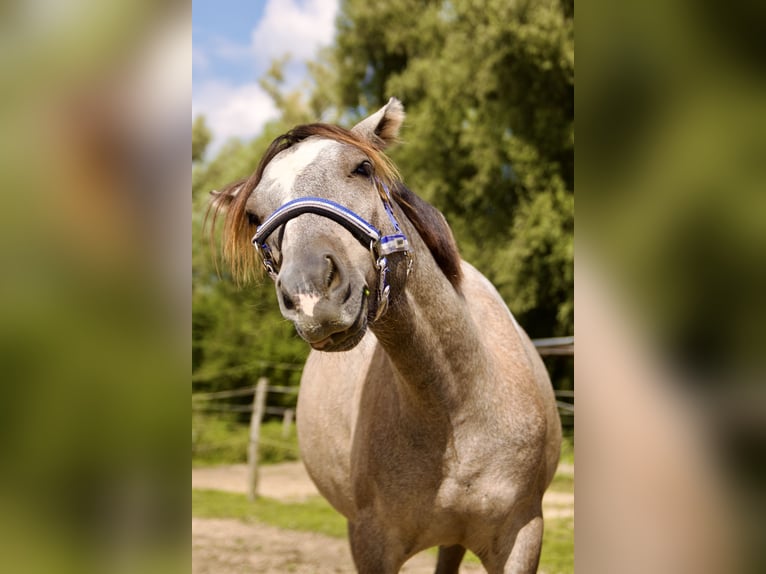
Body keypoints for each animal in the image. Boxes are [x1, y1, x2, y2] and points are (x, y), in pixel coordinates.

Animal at [213, 98, 560, 572]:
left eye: (362, 168)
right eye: (253, 215)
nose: (310, 291)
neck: (457, 407)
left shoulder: (523, 533)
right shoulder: (371, 542)